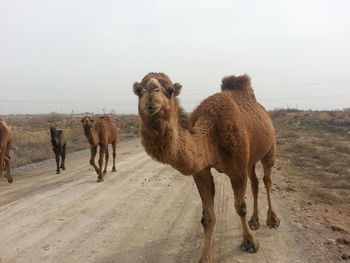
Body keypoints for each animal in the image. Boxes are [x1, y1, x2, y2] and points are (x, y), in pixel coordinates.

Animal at [133, 72, 280, 263]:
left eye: (170, 90)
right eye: (137, 90)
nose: (151, 90)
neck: (211, 135)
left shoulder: (237, 170)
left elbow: (240, 207)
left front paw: (250, 243)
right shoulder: (201, 171)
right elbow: (208, 217)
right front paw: (205, 257)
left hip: (270, 149)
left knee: (267, 180)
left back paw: (272, 220)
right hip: (251, 159)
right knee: (255, 183)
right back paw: (254, 221)